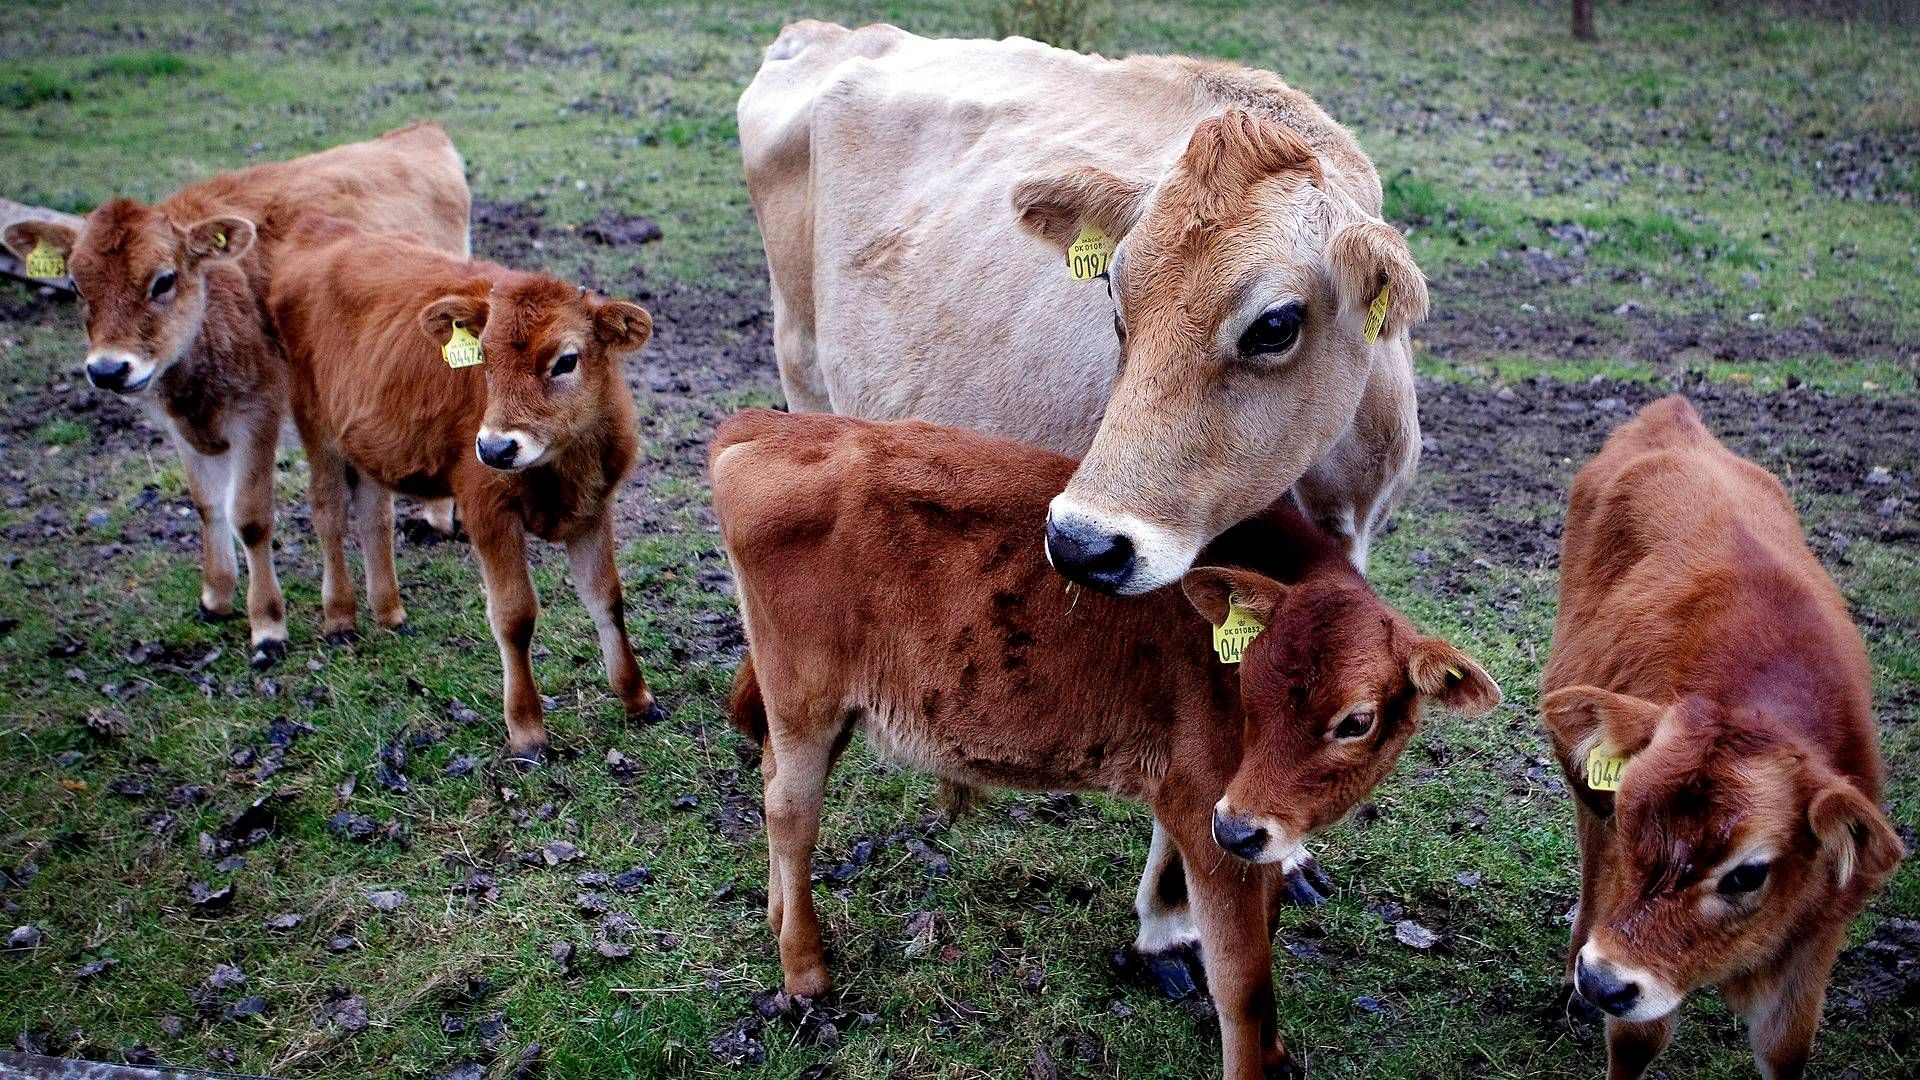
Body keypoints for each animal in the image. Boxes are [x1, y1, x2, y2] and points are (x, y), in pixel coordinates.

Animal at [2, 123, 468, 664]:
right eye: (76, 284)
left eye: (164, 280)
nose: (109, 369)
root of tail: (417, 133)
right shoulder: (180, 426)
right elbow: (206, 505)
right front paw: (215, 598)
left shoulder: (257, 413)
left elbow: (249, 516)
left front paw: (267, 625)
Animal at [266, 216, 664, 757]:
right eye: (485, 361)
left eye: (566, 360)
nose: (496, 449)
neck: (565, 465)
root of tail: (322, 232)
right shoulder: (486, 507)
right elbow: (514, 614)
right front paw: (527, 731)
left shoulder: (594, 506)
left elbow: (607, 598)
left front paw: (638, 698)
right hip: (314, 425)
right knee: (328, 511)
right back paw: (340, 617)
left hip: (364, 438)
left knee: (373, 513)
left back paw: (390, 611)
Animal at [714, 409, 1505, 1076]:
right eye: (1246, 686)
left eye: (1356, 721)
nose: (1239, 827)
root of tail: (770, 426)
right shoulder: (1204, 810)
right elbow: (1242, 979)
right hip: (805, 701)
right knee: (791, 815)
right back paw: (805, 971)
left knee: (773, 791)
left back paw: (778, 918)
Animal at [1536, 395, 1896, 1076]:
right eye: (1629, 819)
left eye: (1748, 874)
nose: (1600, 982)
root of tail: (1674, 415)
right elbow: (1637, 1041)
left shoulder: (1814, 944)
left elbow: (1787, 1049)